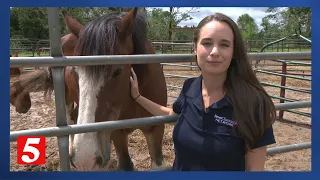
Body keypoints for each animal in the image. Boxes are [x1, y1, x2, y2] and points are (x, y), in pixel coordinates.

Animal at [11, 7, 168, 171]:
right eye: (75, 72)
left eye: (118, 71)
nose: (85, 159)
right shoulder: (117, 133)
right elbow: (125, 164)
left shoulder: (156, 128)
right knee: (69, 118)